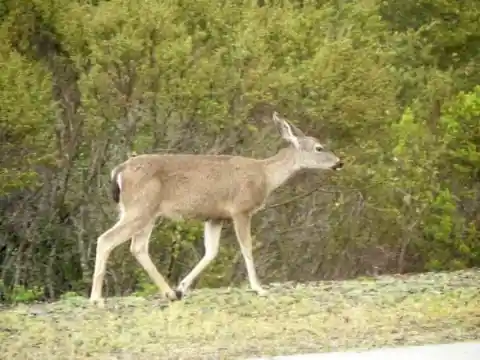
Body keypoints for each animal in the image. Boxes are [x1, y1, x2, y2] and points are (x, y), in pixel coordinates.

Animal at [90, 110, 344, 306]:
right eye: (319, 148)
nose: (340, 162)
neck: (265, 176)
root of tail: (118, 171)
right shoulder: (241, 209)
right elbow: (247, 248)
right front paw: (258, 287)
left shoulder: (215, 217)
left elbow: (211, 252)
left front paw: (182, 287)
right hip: (140, 208)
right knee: (106, 239)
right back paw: (96, 298)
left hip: (144, 212)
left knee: (138, 247)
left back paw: (170, 293)